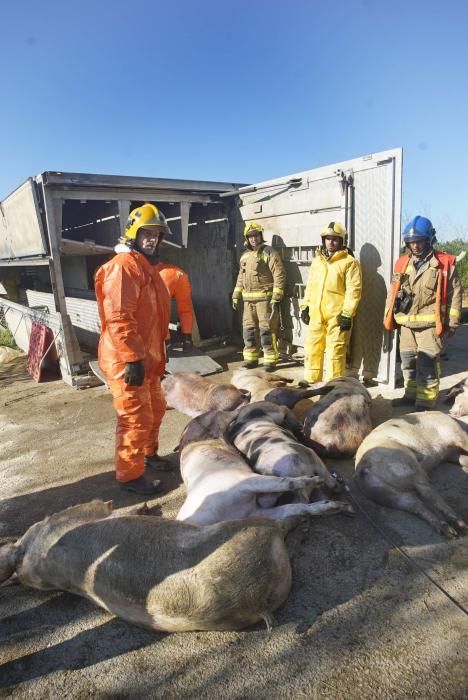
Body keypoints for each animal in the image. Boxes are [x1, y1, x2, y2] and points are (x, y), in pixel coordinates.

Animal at [176, 438, 352, 524]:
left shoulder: (254, 508)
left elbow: (294, 506)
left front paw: (340, 506)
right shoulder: (246, 485)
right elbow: (284, 486)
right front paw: (315, 481)